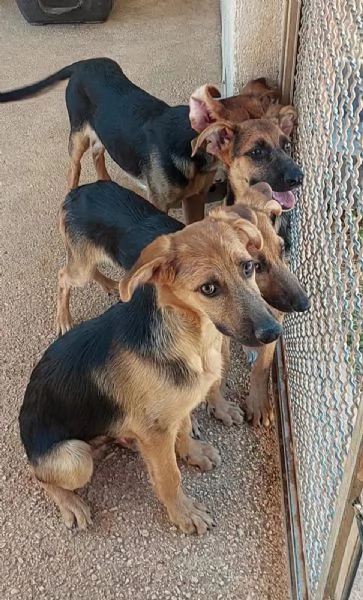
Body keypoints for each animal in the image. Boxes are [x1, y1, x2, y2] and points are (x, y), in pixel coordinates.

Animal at [1, 57, 302, 221]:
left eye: (283, 142)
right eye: (254, 149)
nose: (297, 178)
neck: (194, 157)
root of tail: (83, 63)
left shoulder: (194, 198)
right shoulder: (161, 203)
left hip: (100, 133)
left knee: (99, 153)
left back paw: (106, 182)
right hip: (78, 136)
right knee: (74, 168)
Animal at [19, 212, 284, 536]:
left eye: (248, 267)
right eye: (209, 288)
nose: (273, 332)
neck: (192, 338)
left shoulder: (176, 409)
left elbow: (184, 427)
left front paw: (193, 453)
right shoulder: (156, 432)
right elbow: (170, 477)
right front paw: (184, 513)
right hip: (74, 458)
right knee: (40, 475)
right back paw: (71, 502)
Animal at [56, 178, 310, 426]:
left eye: (282, 249)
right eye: (257, 265)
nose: (304, 304)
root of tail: (76, 192)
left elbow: (252, 367)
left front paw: (247, 404)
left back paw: (111, 285)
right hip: (81, 269)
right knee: (63, 276)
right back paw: (64, 318)